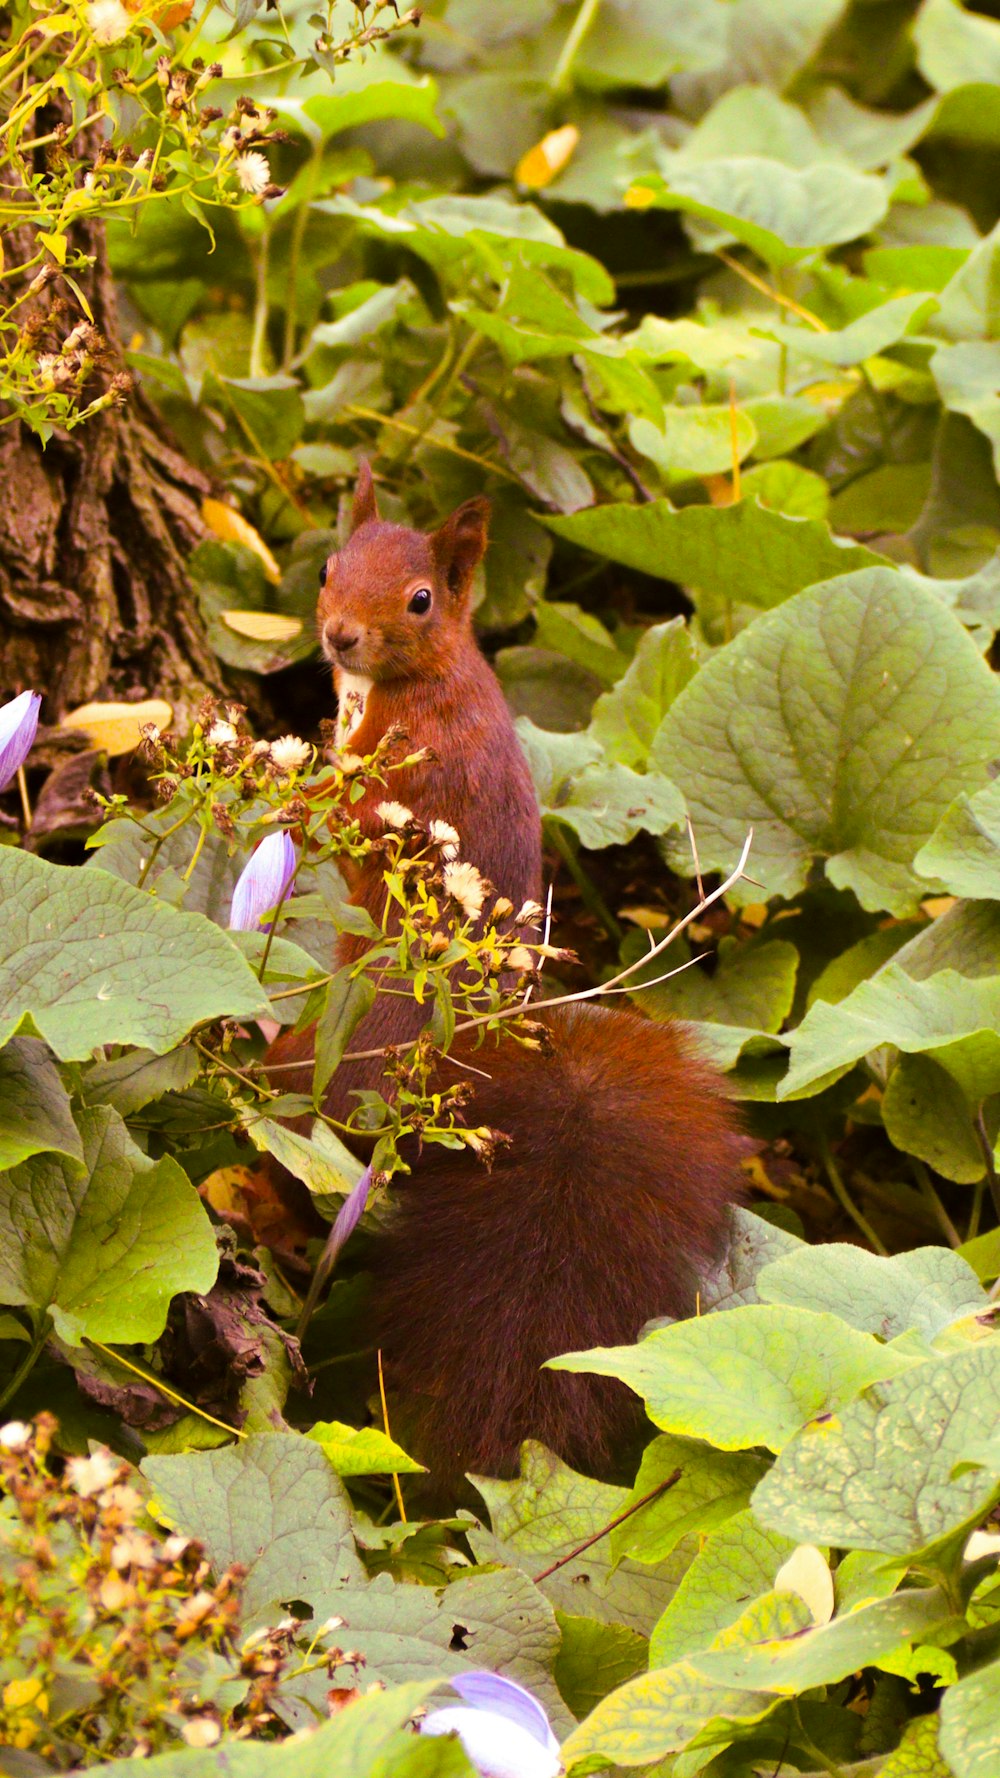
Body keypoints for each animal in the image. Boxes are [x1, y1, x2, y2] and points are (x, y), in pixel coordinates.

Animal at [265, 469, 740, 1486]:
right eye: (327, 568)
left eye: (420, 599)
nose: (340, 636)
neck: (411, 677)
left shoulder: (416, 768)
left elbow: (359, 809)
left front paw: (293, 787)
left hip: (336, 1063)